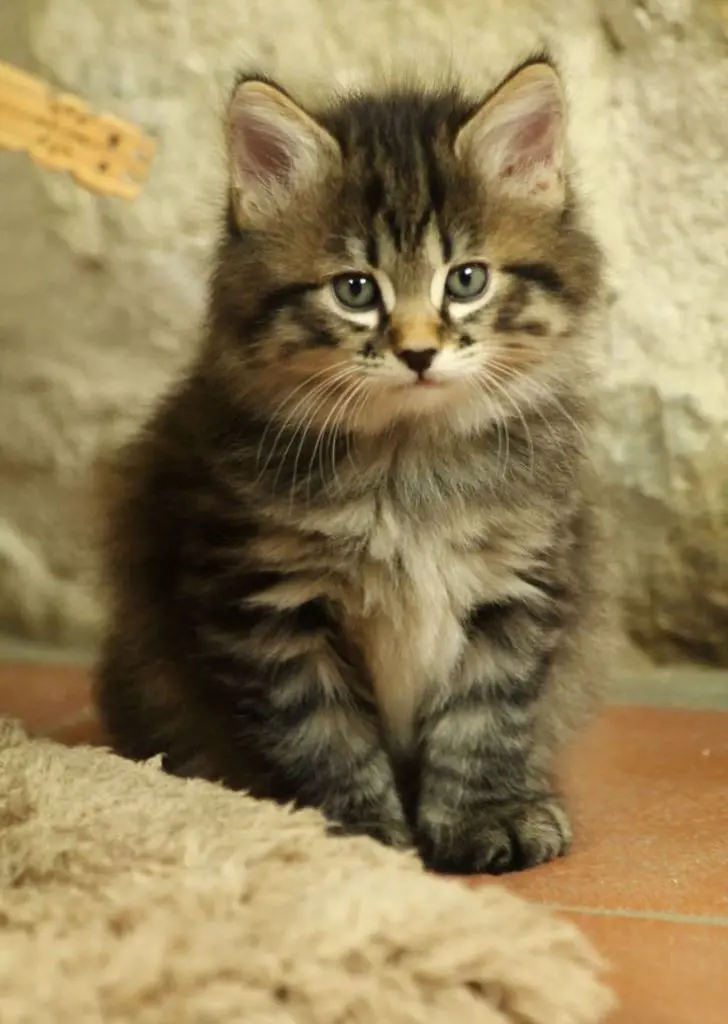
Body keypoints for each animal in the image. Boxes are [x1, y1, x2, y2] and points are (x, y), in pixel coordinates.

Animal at [94, 54, 610, 872]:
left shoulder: (521, 583)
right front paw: (356, 832)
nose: (419, 351)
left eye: (466, 280)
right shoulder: (265, 600)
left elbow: (486, 718)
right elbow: (321, 733)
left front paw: (488, 814)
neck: (409, 458)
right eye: (356, 290)